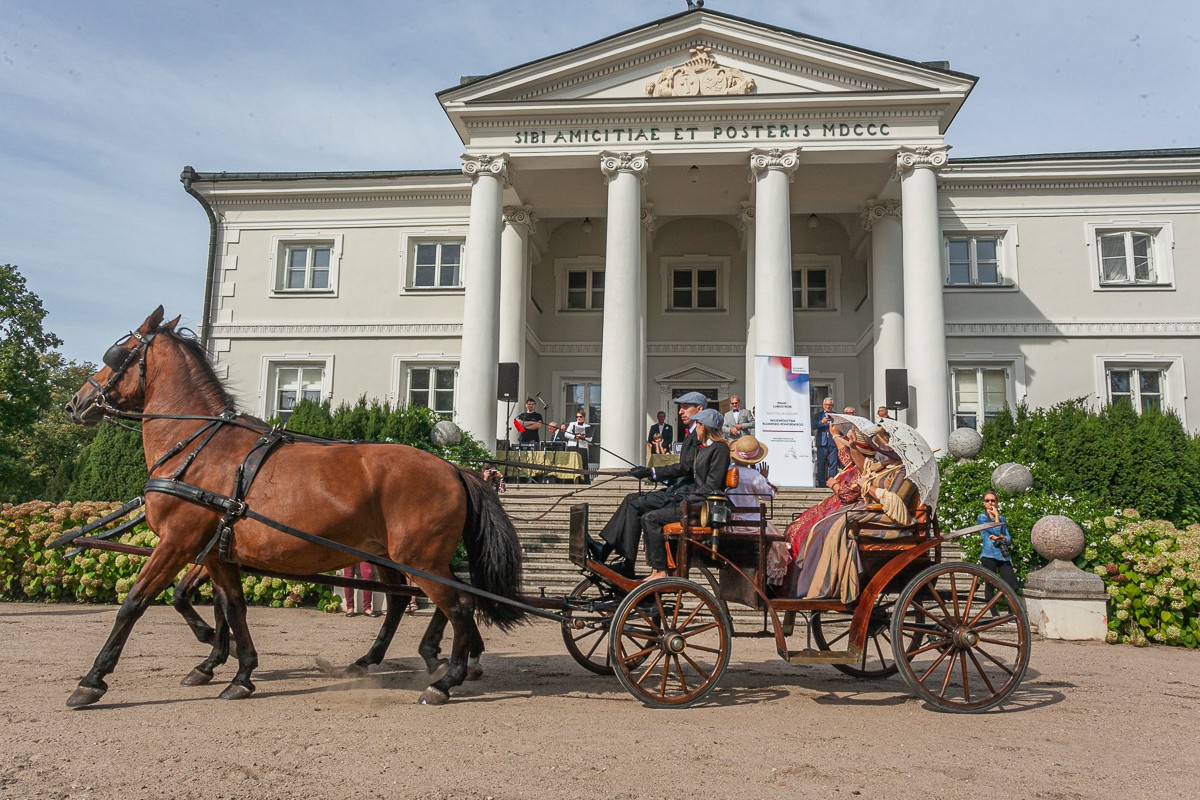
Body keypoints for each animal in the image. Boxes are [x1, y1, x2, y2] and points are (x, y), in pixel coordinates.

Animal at [64, 307, 525, 705]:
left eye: (116, 354)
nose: (76, 402)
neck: (198, 445)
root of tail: (453, 467)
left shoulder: (177, 543)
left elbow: (134, 604)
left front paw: (93, 680)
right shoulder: (216, 552)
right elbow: (231, 606)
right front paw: (239, 671)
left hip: (419, 557)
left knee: (458, 604)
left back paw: (446, 679)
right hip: (403, 555)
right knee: (413, 600)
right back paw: (397, 659)